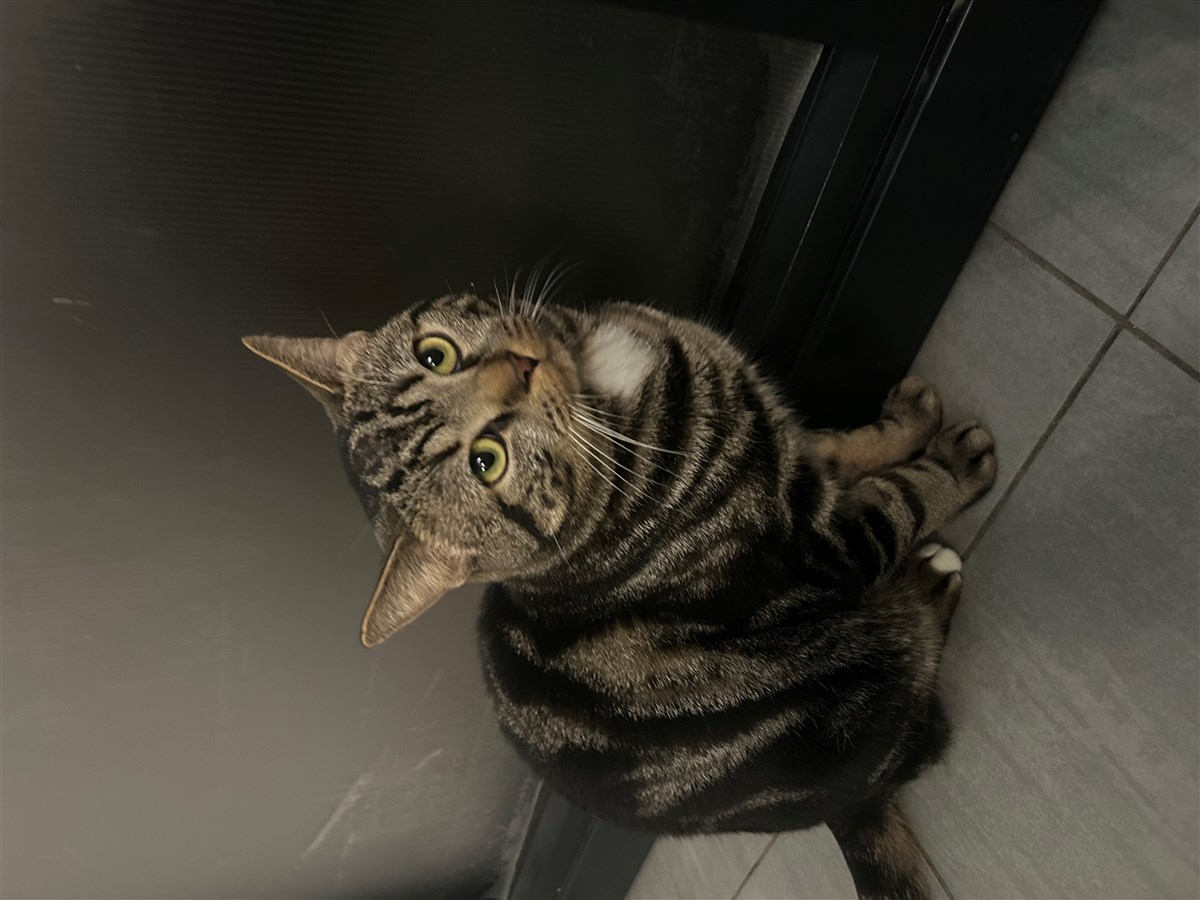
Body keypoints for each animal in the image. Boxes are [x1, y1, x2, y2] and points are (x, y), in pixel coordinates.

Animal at [243, 286, 995, 900]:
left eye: (437, 354)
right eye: (488, 462)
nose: (521, 367)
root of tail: (840, 804)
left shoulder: (787, 453)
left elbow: (838, 445)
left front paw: (901, 423)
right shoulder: (821, 548)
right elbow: (898, 499)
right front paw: (950, 464)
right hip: (861, 694)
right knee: (924, 719)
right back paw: (930, 582)